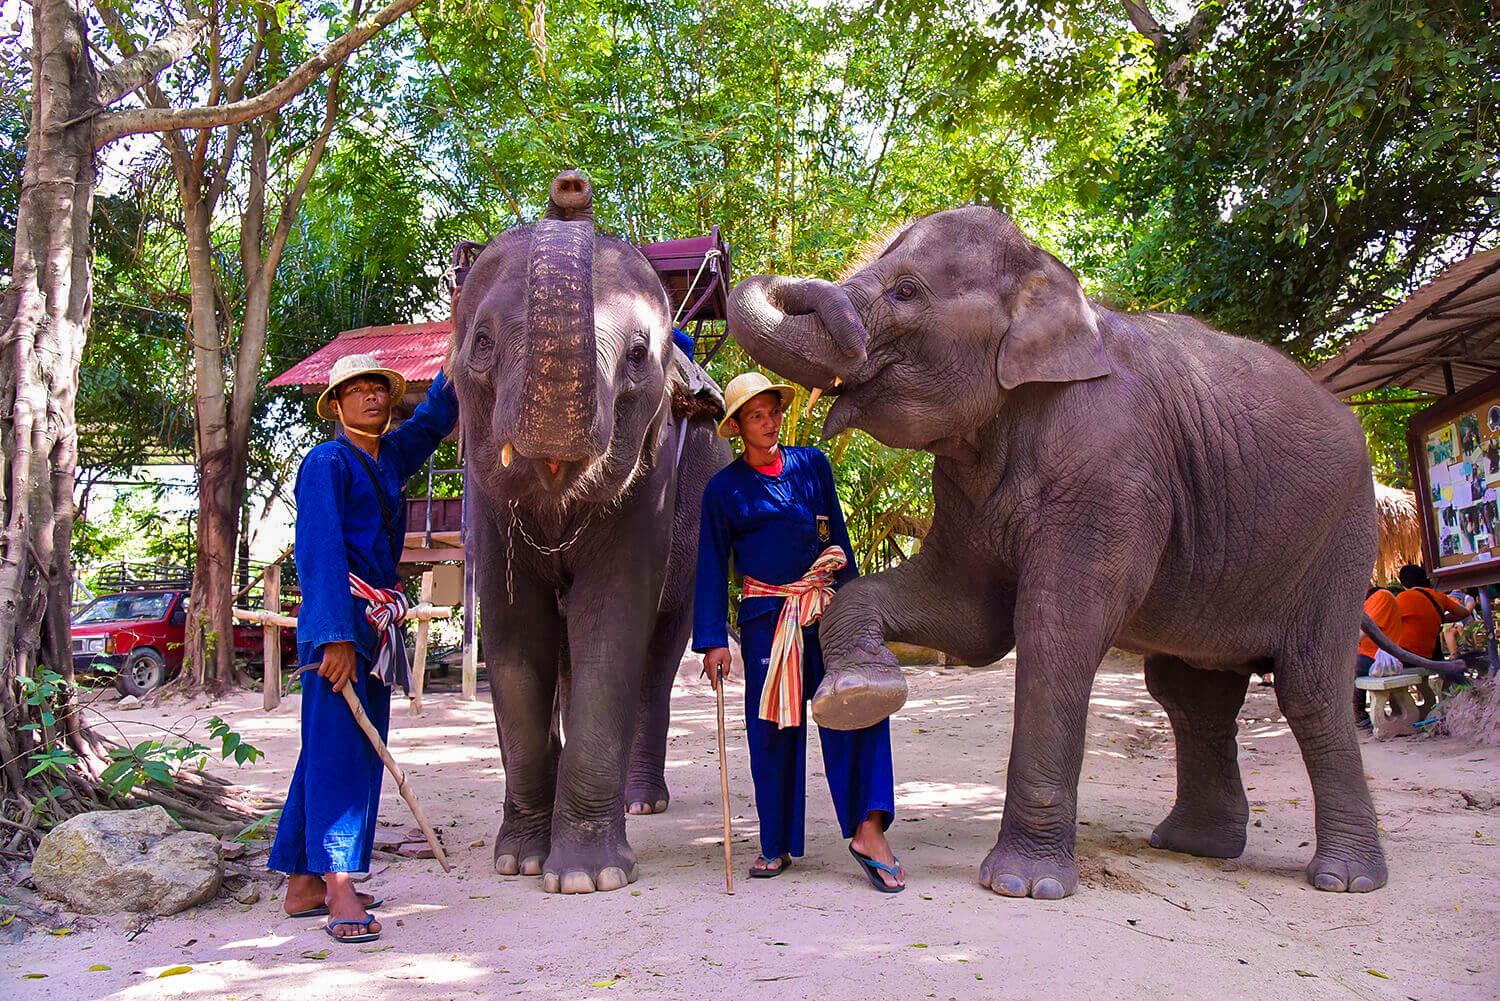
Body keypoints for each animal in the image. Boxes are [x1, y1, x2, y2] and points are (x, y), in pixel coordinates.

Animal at [449, 171, 730, 893]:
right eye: (481, 343)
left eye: (637, 354)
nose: (570, 189)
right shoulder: (482, 501)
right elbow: (515, 632)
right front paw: (519, 862)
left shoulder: (653, 484)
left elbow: (611, 618)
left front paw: (584, 878)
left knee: (657, 659)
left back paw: (641, 802)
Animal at [726, 203, 1401, 899]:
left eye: (907, 291)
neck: (1053, 289)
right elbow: (971, 619)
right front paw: (859, 694)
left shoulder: (1111, 465)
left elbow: (1053, 629)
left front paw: (1020, 886)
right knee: (1191, 693)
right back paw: (1194, 847)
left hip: (1340, 537)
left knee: (1309, 687)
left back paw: (1344, 880)